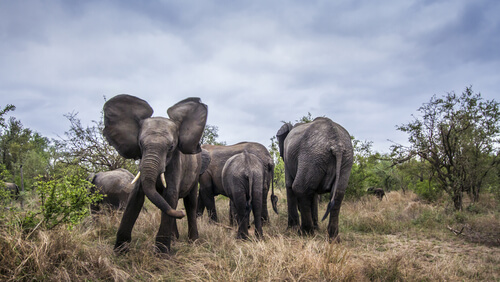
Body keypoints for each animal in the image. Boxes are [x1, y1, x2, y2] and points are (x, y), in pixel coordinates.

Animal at [102, 94, 208, 253]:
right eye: (140, 144)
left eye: (171, 147)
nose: (180, 214)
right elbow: (136, 196)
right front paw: (120, 252)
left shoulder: (176, 161)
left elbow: (170, 193)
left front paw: (162, 254)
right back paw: (174, 239)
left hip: (195, 174)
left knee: (190, 203)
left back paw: (193, 241)